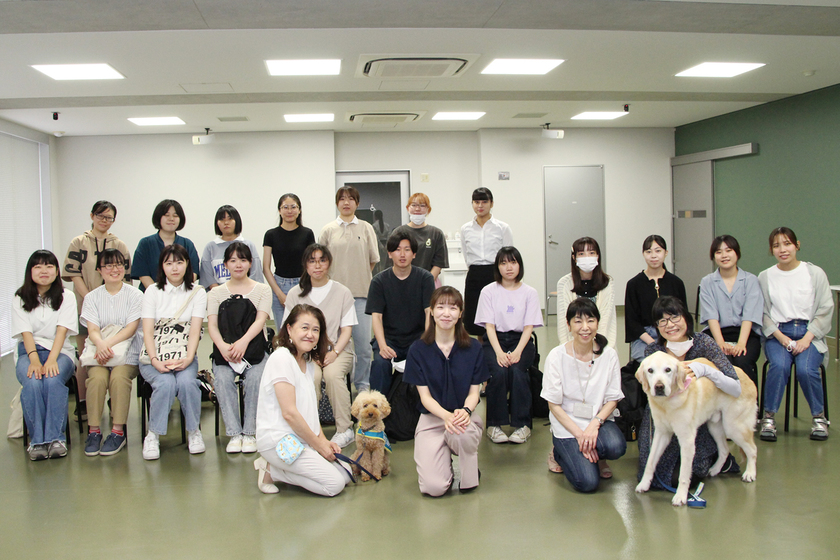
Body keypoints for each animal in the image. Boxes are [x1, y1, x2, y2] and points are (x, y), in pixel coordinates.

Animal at [634, 351, 757, 506]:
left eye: (668, 370)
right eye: (650, 370)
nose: (659, 387)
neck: (667, 403)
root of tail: (748, 378)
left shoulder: (687, 441)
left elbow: (683, 474)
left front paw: (681, 496)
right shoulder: (661, 434)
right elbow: (650, 462)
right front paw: (644, 484)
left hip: (733, 427)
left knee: (752, 449)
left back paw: (750, 473)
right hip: (715, 427)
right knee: (724, 450)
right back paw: (715, 470)